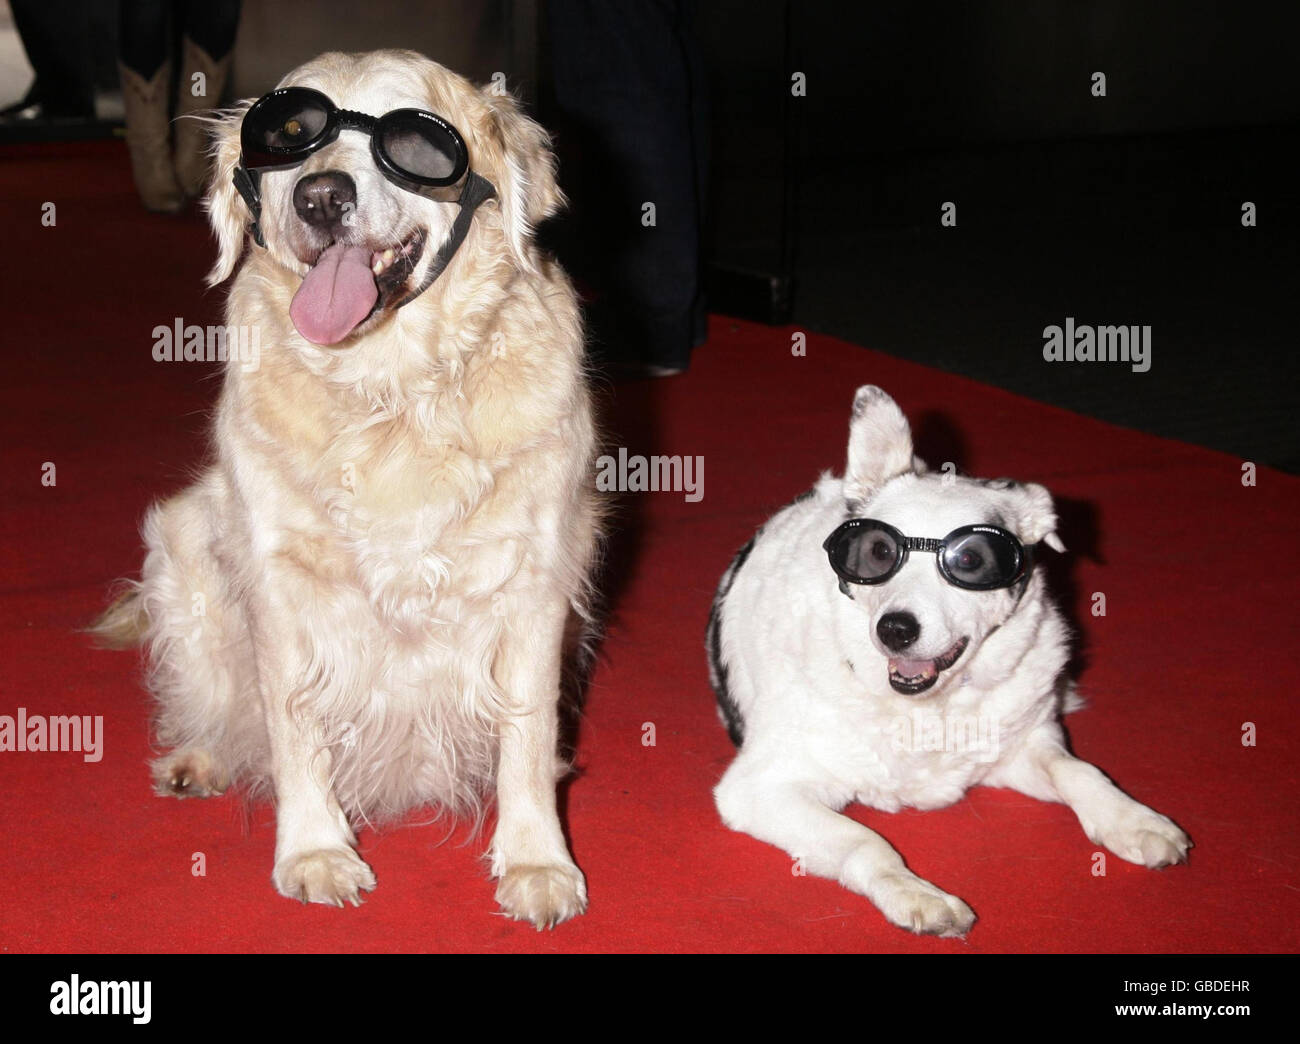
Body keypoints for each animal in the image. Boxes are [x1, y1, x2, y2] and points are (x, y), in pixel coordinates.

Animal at [96, 51, 598, 930]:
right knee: (211, 696)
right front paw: (315, 851)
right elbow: (292, 725)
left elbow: (529, 734)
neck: (389, 394)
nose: (321, 196)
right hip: (182, 547)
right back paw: (199, 757)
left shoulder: (534, 582)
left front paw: (537, 861)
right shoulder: (279, 586)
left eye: (420, 145)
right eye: (289, 135)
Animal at [707, 384, 1190, 941]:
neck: (925, 710)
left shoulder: (1021, 747)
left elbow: (1081, 771)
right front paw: (915, 892)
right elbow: (865, 841)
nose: (895, 629)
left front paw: (1132, 819)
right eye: (877, 552)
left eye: (970, 561)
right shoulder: (759, 788)